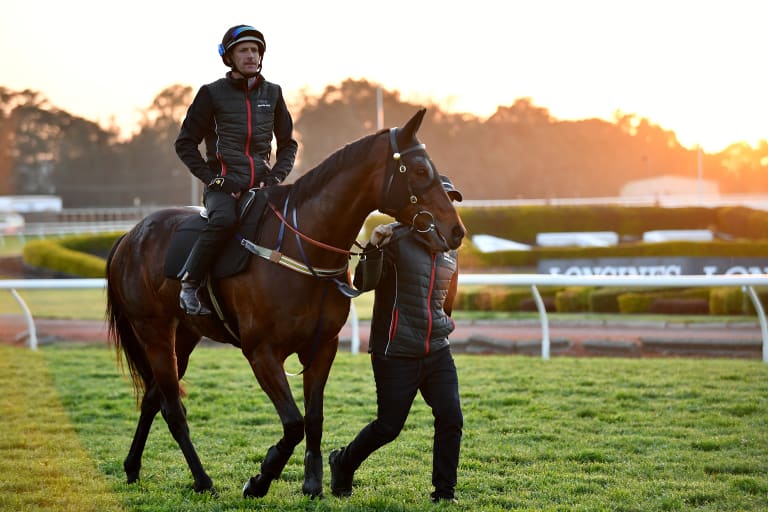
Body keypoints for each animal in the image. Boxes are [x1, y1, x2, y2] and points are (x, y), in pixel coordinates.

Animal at [102, 107, 462, 496]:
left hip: (184, 334)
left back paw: (133, 466)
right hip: (153, 331)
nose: (457, 230)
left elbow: (314, 417)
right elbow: (293, 423)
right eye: (421, 170)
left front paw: (313, 481)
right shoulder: (261, 353)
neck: (302, 247)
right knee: (172, 408)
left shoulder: (322, 347)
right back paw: (202, 479)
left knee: (153, 398)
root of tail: (129, 236)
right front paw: (261, 478)